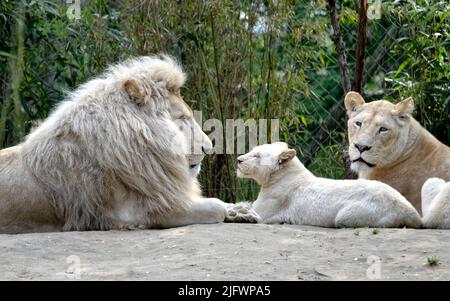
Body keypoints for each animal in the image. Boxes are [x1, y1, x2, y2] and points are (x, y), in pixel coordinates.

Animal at [0, 55, 256, 233]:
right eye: (182, 118)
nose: (208, 148)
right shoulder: (138, 213)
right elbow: (214, 206)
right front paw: (232, 211)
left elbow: (219, 203)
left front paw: (241, 210)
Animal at [236, 141, 422, 227]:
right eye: (253, 151)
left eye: (257, 155)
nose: (238, 160)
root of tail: (411, 212)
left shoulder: (263, 212)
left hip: (345, 216)